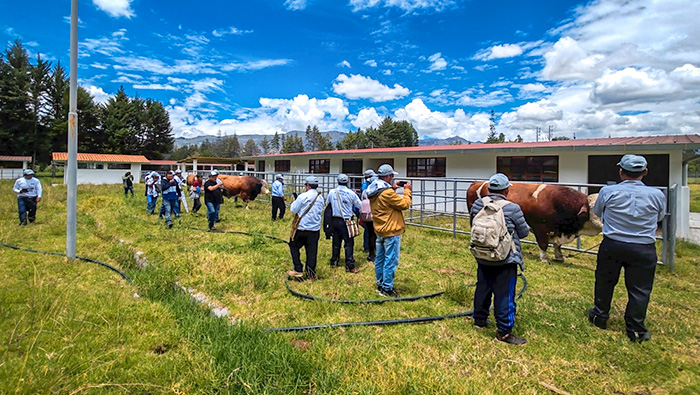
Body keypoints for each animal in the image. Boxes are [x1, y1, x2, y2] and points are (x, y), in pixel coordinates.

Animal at [464, 182, 600, 262]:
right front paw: (544, 259)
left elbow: (557, 245)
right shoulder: (541, 228)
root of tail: (476, 183)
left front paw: (559, 257)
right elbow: (543, 244)